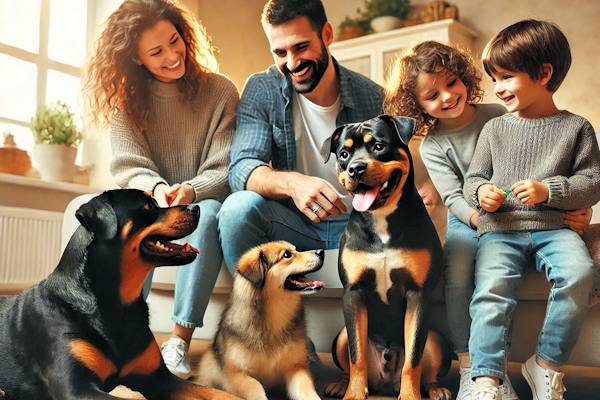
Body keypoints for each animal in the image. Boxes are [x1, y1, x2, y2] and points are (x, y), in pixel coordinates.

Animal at [0, 189, 239, 398]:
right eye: (148, 206)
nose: (196, 207)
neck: (119, 303)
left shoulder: (160, 379)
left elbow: (218, 393)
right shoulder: (76, 388)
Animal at [198, 241, 326, 400]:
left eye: (296, 250)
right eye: (287, 255)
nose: (322, 252)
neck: (274, 317)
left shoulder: (296, 368)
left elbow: (306, 390)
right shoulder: (236, 374)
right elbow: (255, 386)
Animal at [324, 115, 450, 400]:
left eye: (379, 146)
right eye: (344, 154)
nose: (356, 168)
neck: (381, 217)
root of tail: (384, 384)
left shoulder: (418, 295)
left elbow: (413, 359)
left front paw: (411, 396)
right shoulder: (354, 293)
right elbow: (356, 356)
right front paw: (353, 394)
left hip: (436, 339)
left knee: (428, 368)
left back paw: (437, 389)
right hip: (340, 335)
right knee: (348, 360)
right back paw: (340, 385)